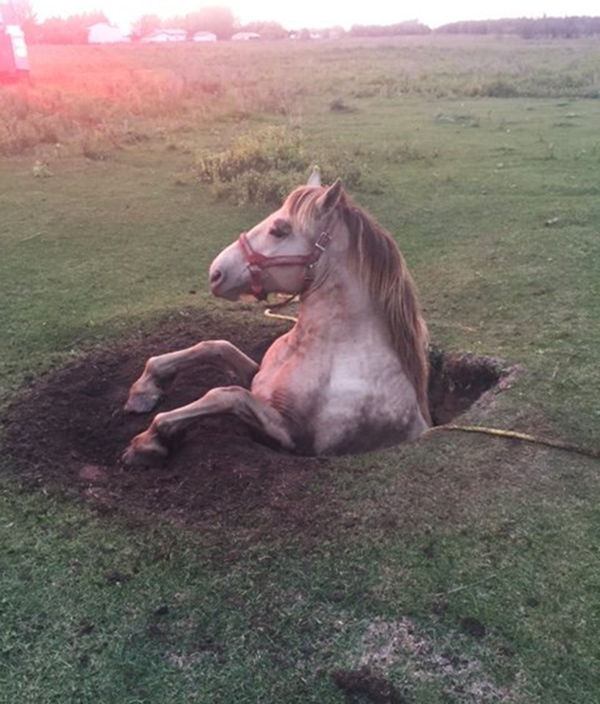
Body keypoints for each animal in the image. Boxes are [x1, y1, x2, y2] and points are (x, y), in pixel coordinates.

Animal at [122, 171, 430, 466]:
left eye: (279, 230)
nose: (216, 273)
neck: (336, 353)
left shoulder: (293, 437)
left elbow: (226, 394)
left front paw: (149, 441)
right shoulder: (257, 379)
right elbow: (216, 346)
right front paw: (146, 387)